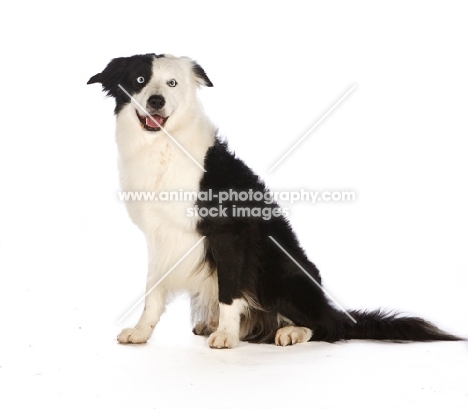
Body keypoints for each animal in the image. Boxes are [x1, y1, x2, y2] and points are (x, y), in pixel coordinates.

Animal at [87, 53, 460, 348]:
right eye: (139, 80)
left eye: (172, 83)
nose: (156, 101)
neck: (164, 146)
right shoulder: (159, 234)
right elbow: (152, 290)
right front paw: (141, 332)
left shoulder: (229, 232)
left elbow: (230, 289)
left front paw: (226, 335)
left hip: (281, 268)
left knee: (328, 326)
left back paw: (290, 332)